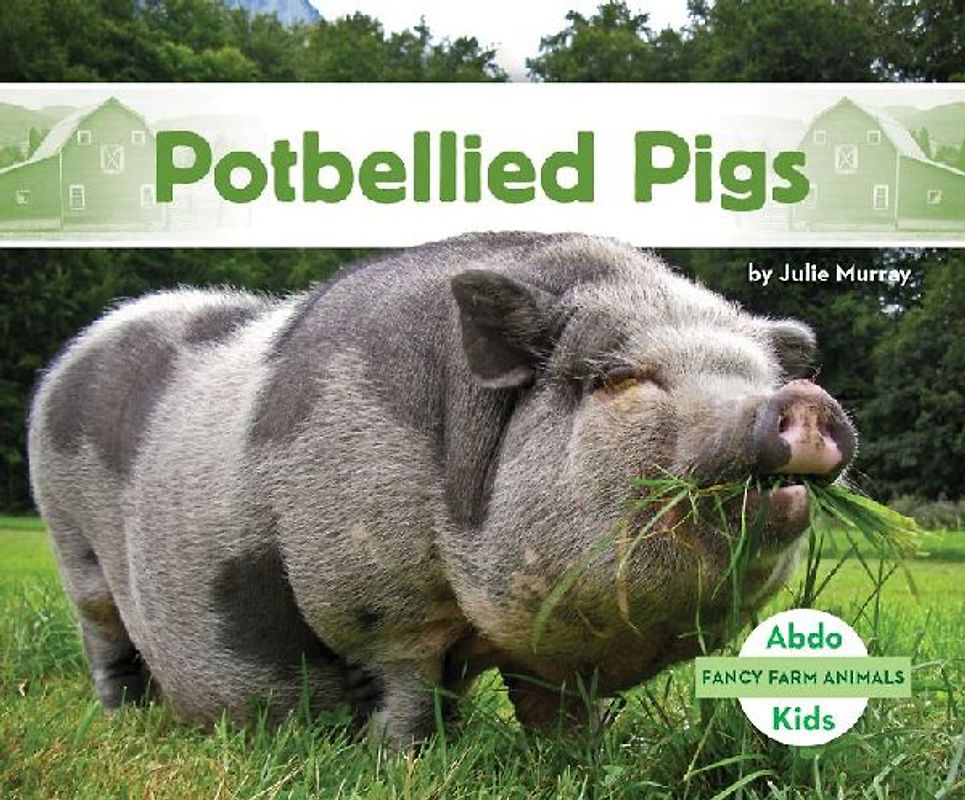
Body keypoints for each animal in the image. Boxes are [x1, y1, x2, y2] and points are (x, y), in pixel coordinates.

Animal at [27, 232, 856, 743]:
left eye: (761, 374)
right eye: (620, 378)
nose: (802, 401)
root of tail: (67, 358)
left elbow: (557, 710)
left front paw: (582, 758)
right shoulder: (374, 597)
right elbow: (407, 689)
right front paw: (411, 765)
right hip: (72, 546)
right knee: (106, 640)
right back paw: (123, 722)